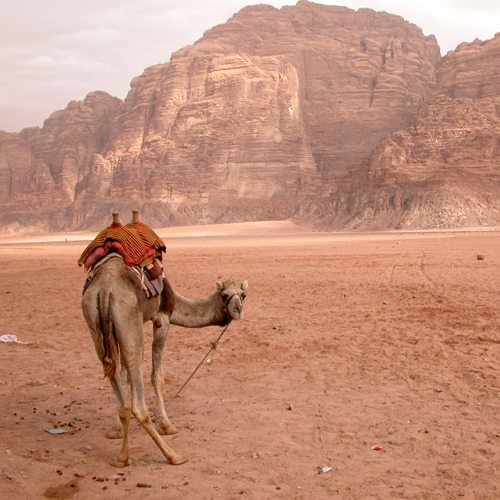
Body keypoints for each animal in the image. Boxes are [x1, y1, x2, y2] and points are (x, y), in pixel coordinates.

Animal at [80, 252, 248, 466]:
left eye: (243, 295)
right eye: (224, 295)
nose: (238, 310)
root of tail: (104, 290)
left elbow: (124, 379)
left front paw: (115, 430)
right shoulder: (162, 318)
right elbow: (157, 376)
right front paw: (167, 425)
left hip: (96, 324)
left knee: (121, 397)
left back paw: (122, 458)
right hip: (128, 319)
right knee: (137, 405)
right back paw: (172, 455)